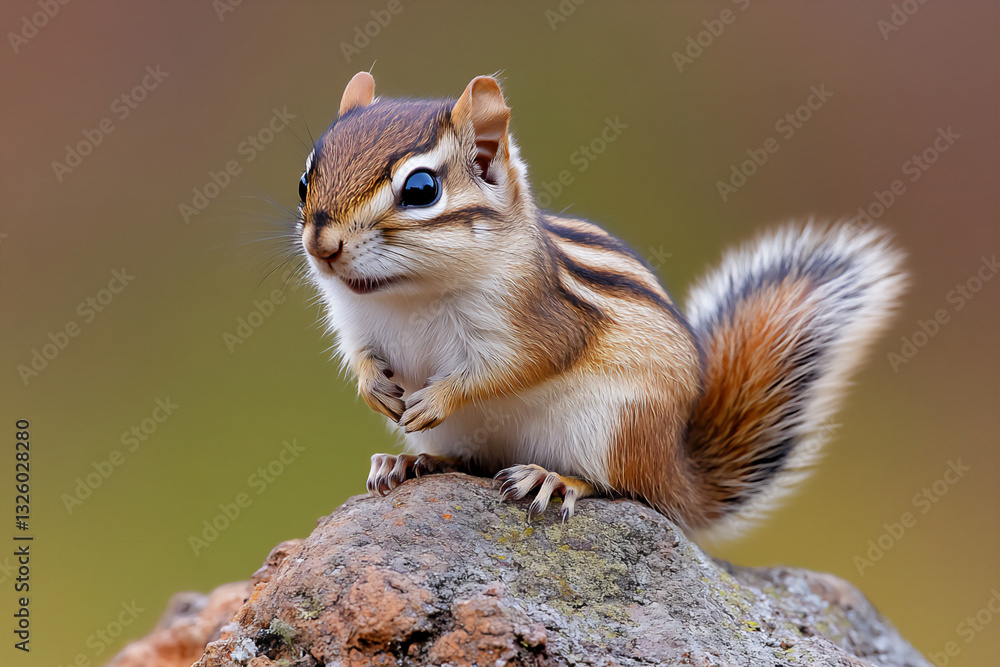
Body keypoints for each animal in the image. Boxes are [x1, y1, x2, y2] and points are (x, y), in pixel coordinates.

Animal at [296, 71, 907, 536]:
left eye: (421, 190)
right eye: (306, 178)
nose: (322, 246)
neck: (406, 293)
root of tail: (677, 472)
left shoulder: (536, 320)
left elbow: (510, 368)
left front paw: (438, 396)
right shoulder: (354, 324)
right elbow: (361, 358)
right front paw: (375, 389)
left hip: (613, 426)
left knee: (619, 488)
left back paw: (552, 478)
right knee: (471, 461)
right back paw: (411, 459)